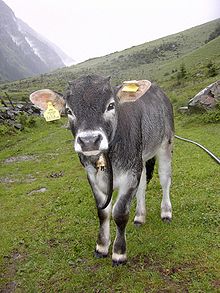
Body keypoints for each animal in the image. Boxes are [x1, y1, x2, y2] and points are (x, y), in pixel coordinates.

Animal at [30, 74, 174, 264]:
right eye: (69, 111)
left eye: (111, 105)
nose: (89, 140)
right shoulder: (93, 176)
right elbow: (103, 212)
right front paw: (101, 246)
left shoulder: (130, 174)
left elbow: (119, 212)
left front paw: (119, 253)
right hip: (141, 159)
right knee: (142, 186)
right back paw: (139, 216)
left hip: (165, 143)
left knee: (165, 179)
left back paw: (166, 212)